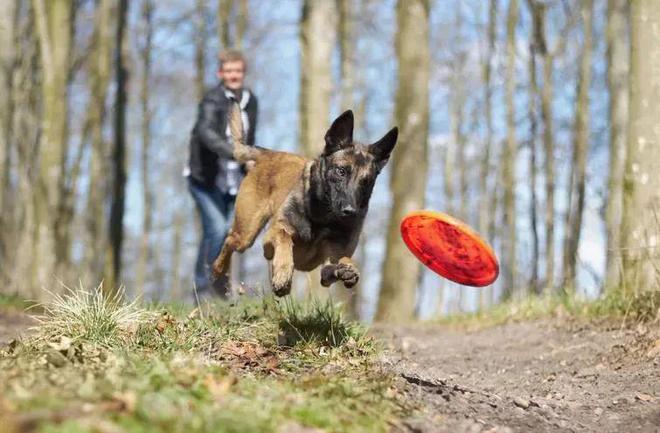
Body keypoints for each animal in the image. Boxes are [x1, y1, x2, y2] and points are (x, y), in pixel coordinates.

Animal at [213, 103, 398, 296]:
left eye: (366, 182)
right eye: (341, 171)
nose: (350, 212)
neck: (323, 218)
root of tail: (268, 153)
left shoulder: (330, 262)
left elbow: (338, 263)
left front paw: (347, 268)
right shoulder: (272, 237)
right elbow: (284, 236)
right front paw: (283, 273)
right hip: (246, 234)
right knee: (230, 240)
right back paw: (219, 269)